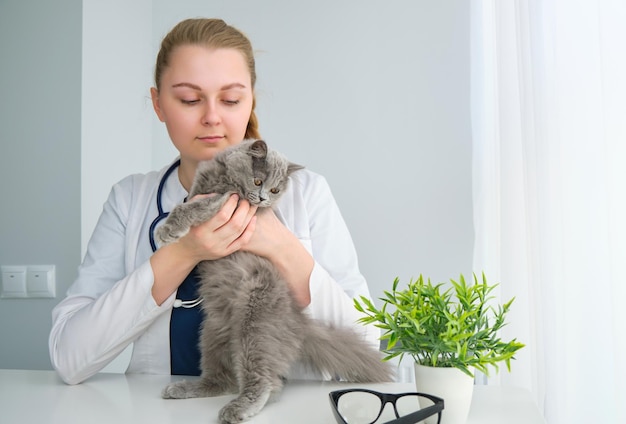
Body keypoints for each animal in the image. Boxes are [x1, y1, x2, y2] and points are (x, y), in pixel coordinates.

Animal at [155, 140, 390, 424]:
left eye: (276, 189)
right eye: (258, 181)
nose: (264, 198)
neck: (222, 173)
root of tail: (298, 320)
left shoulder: (224, 200)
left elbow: (189, 207)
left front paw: (166, 231)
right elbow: (189, 202)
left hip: (255, 327)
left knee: (265, 381)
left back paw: (237, 409)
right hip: (212, 332)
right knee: (222, 380)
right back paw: (185, 388)